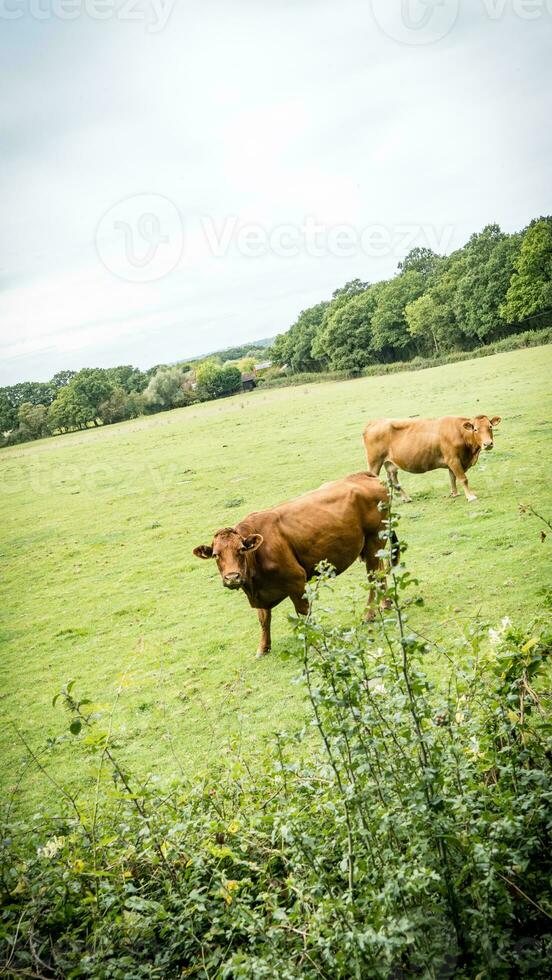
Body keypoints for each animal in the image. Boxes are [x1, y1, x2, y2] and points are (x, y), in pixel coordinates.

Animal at [193, 470, 396, 656]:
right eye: (216, 555)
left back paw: (369, 614)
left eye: (241, 550)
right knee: (381, 571)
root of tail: (363, 475)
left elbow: (303, 612)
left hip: (374, 540)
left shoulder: (297, 581)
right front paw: (263, 648)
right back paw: (386, 604)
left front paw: (312, 641)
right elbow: (264, 618)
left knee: (373, 578)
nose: (232, 577)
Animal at [364, 416, 502, 506]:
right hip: (375, 461)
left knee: (393, 479)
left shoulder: (452, 461)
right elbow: (462, 478)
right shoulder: (453, 459)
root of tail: (374, 422)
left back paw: (406, 498)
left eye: (490, 427)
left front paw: (455, 493)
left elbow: (452, 477)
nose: (488, 444)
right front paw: (471, 496)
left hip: (390, 463)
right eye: (475, 429)